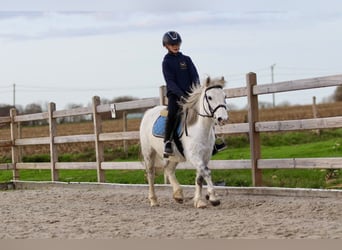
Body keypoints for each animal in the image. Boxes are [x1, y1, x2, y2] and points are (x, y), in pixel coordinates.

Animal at [140, 76, 228, 209]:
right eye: (210, 97)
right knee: (150, 174)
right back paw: (154, 201)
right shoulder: (194, 156)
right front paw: (213, 198)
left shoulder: (205, 156)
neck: (200, 129)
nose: (222, 119)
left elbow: (200, 177)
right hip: (149, 153)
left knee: (169, 170)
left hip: (173, 156)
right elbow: (206, 172)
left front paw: (199, 201)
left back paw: (178, 195)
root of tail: (148, 112)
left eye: (224, 96)